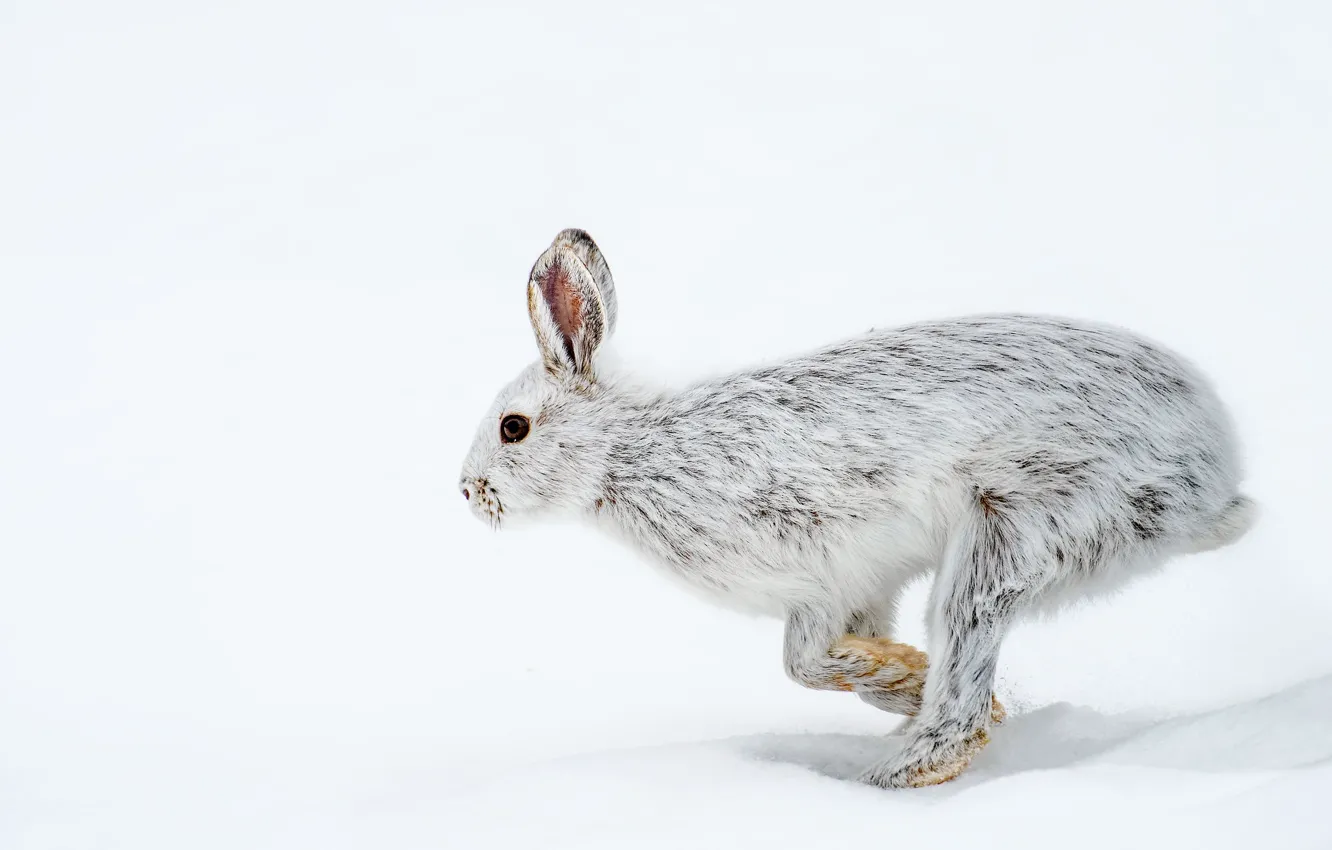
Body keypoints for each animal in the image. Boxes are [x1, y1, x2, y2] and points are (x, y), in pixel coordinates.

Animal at [458, 228, 1256, 788]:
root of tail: (1213, 479)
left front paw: (901, 674)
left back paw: (894, 776)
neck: (629, 455)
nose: (468, 492)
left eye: (513, 428)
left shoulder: (819, 574)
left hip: (1011, 538)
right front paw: (900, 676)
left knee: (963, 693)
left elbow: (802, 664)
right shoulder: (865, 588)